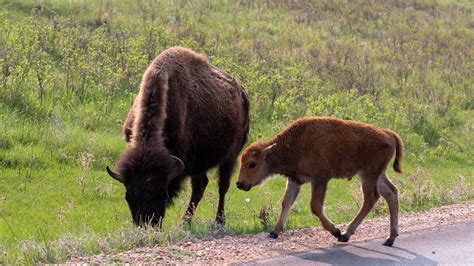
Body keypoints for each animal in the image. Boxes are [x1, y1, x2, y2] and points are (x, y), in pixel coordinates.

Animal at [106, 46, 250, 228]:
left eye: (163, 195)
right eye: (129, 197)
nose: (148, 225)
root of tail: (242, 93)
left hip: (230, 156)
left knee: (222, 185)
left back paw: (218, 221)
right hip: (199, 162)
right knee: (200, 185)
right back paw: (185, 222)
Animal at [237, 117, 404, 246]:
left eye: (252, 164)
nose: (239, 184)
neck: (295, 143)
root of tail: (389, 134)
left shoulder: (320, 179)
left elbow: (315, 206)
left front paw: (336, 231)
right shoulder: (295, 180)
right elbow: (287, 202)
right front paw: (274, 232)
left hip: (368, 175)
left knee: (371, 198)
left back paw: (346, 235)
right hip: (378, 175)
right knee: (391, 193)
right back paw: (390, 238)